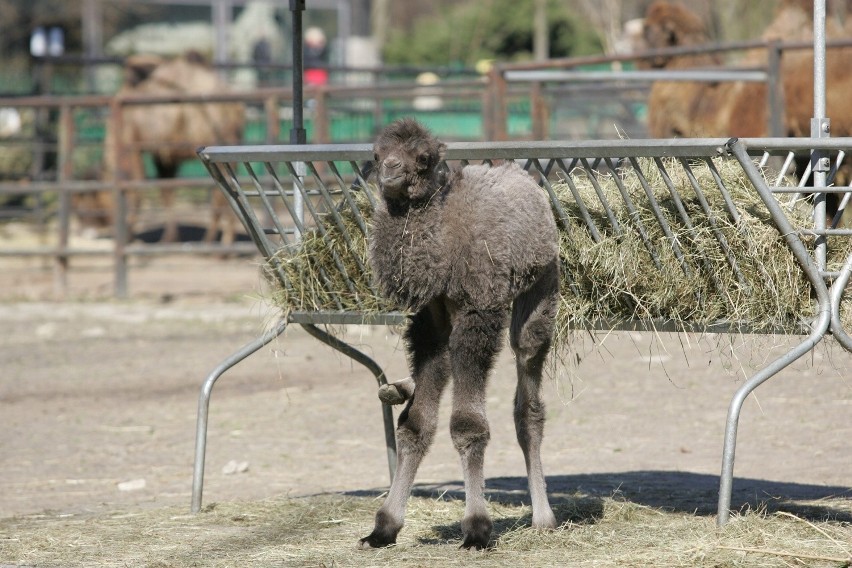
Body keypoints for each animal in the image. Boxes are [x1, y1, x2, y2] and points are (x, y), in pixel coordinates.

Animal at [362, 117, 564, 548]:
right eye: (375, 154)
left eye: (422, 158)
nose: (389, 171)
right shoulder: (431, 323)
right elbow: (415, 424)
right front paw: (383, 527)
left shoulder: (477, 313)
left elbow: (468, 426)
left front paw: (476, 528)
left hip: (540, 288)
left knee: (528, 393)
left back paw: (543, 517)